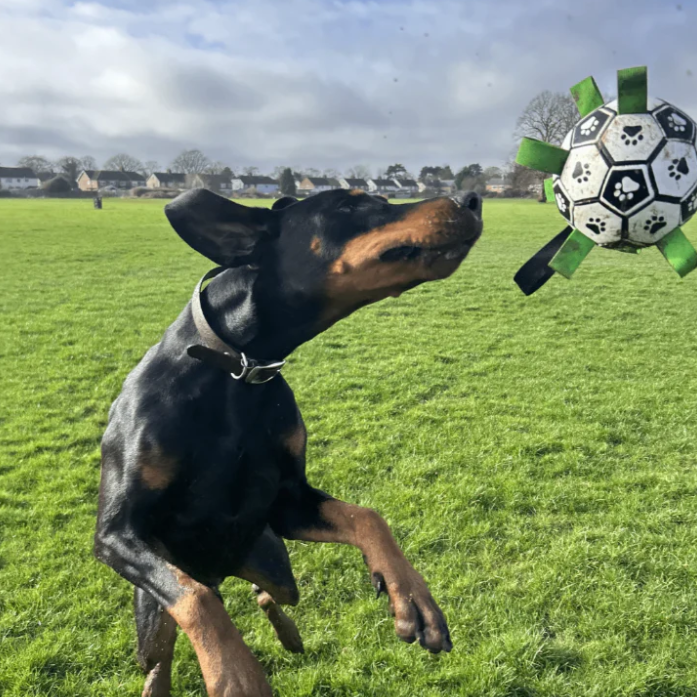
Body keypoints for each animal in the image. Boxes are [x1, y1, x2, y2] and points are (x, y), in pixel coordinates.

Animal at [92, 186, 482, 696]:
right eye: (349, 205)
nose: (471, 199)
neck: (237, 368)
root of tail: (224, 569)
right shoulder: (117, 532)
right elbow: (196, 600)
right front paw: (235, 674)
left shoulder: (288, 503)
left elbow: (368, 517)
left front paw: (413, 599)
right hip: (151, 612)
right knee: (167, 646)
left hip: (275, 561)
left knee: (265, 594)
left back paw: (289, 634)